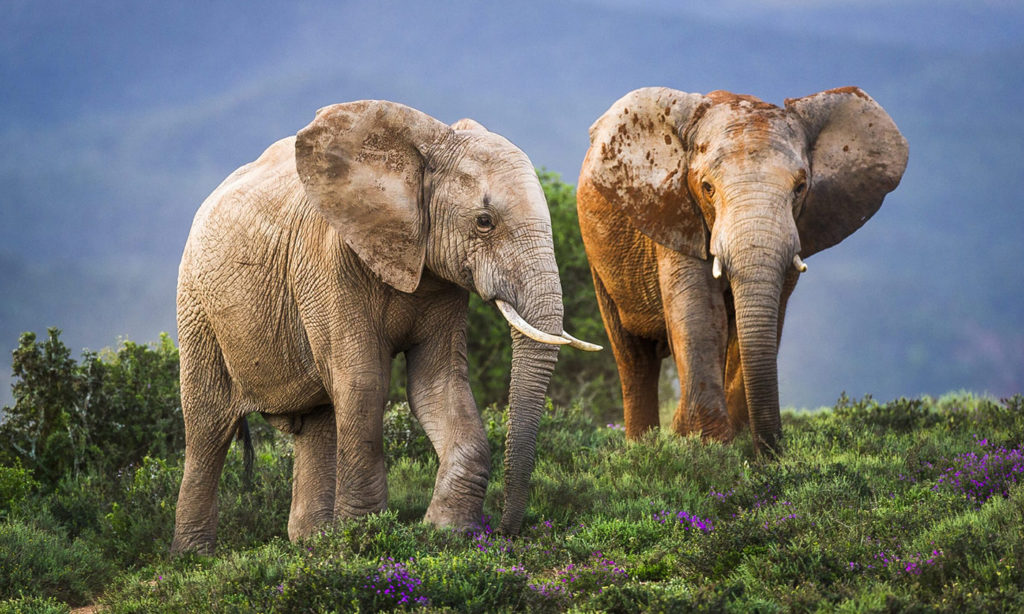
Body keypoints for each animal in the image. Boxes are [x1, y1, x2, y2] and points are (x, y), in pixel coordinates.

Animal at [170, 100, 599, 554]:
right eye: (485, 221)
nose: (504, 531)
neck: (423, 147)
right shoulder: (332, 264)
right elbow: (365, 383)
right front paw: (364, 538)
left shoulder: (441, 278)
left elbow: (438, 382)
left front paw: (447, 532)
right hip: (196, 306)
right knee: (208, 427)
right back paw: (193, 557)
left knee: (316, 421)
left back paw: (312, 544)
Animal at [577, 87, 907, 453]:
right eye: (707, 187)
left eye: (800, 188)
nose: (774, 451)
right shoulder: (676, 214)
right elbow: (701, 318)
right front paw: (706, 446)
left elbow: (760, 323)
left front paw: (734, 444)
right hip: (599, 259)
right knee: (634, 357)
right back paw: (643, 449)